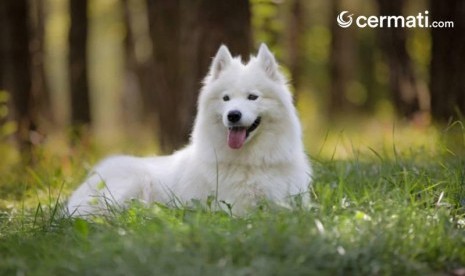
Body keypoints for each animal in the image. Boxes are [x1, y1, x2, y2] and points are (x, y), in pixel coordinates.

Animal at [66, 43, 312, 216]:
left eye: (252, 97)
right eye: (226, 98)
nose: (233, 115)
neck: (252, 162)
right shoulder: (236, 207)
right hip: (132, 183)